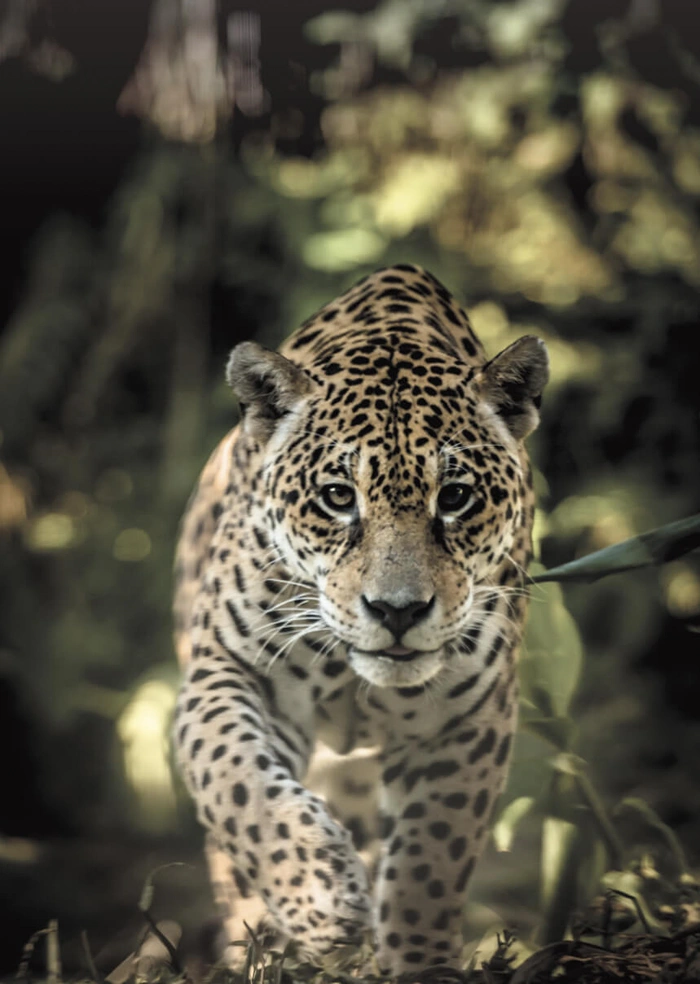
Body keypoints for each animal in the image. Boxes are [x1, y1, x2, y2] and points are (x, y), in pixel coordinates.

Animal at [173, 264, 548, 976]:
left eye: (456, 497)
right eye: (337, 496)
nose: (397, 610)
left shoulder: (470, 718)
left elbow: (431, 859)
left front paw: (421, 962)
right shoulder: (227, 672)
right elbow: (239, 783)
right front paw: (318, 897)